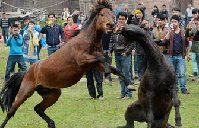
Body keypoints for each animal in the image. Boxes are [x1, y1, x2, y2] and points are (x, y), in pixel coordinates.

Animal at [0, 0, 129, 127]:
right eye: (102, 14)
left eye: (113, 15)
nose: (110, 25)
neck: (87, 41)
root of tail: (27, 72)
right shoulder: (82, 60)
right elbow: (102, 57)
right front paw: (108, 74)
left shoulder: (94, 64)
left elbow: (113, 67)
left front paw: (128, 84)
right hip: (25, 92)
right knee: (11, 111)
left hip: (53, 93)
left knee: (38, 108)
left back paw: (51, 123)